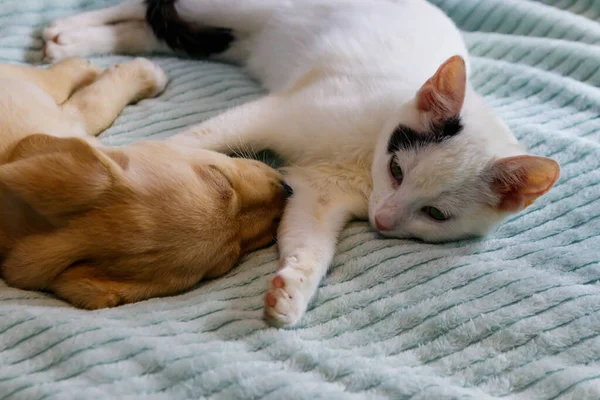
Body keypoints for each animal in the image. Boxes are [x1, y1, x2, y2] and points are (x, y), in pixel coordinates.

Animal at [0, 57, 290, 310]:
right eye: (228, 260)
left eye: (222, 178)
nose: (288, 191)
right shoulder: (65, 114)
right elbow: (95, 103)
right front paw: (142, 73)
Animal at [43, 0, 564, 326]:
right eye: (397, 170)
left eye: (435, 214)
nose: (382, 220)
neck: (364, 155)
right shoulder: (277, 113)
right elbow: (202, 139)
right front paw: (149, 161)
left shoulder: (318, 193)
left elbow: (309, 242)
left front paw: (292, 289)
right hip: (233, 9)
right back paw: (70, 28)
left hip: (229, 35)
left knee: (158, 29)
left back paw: (75, 39)